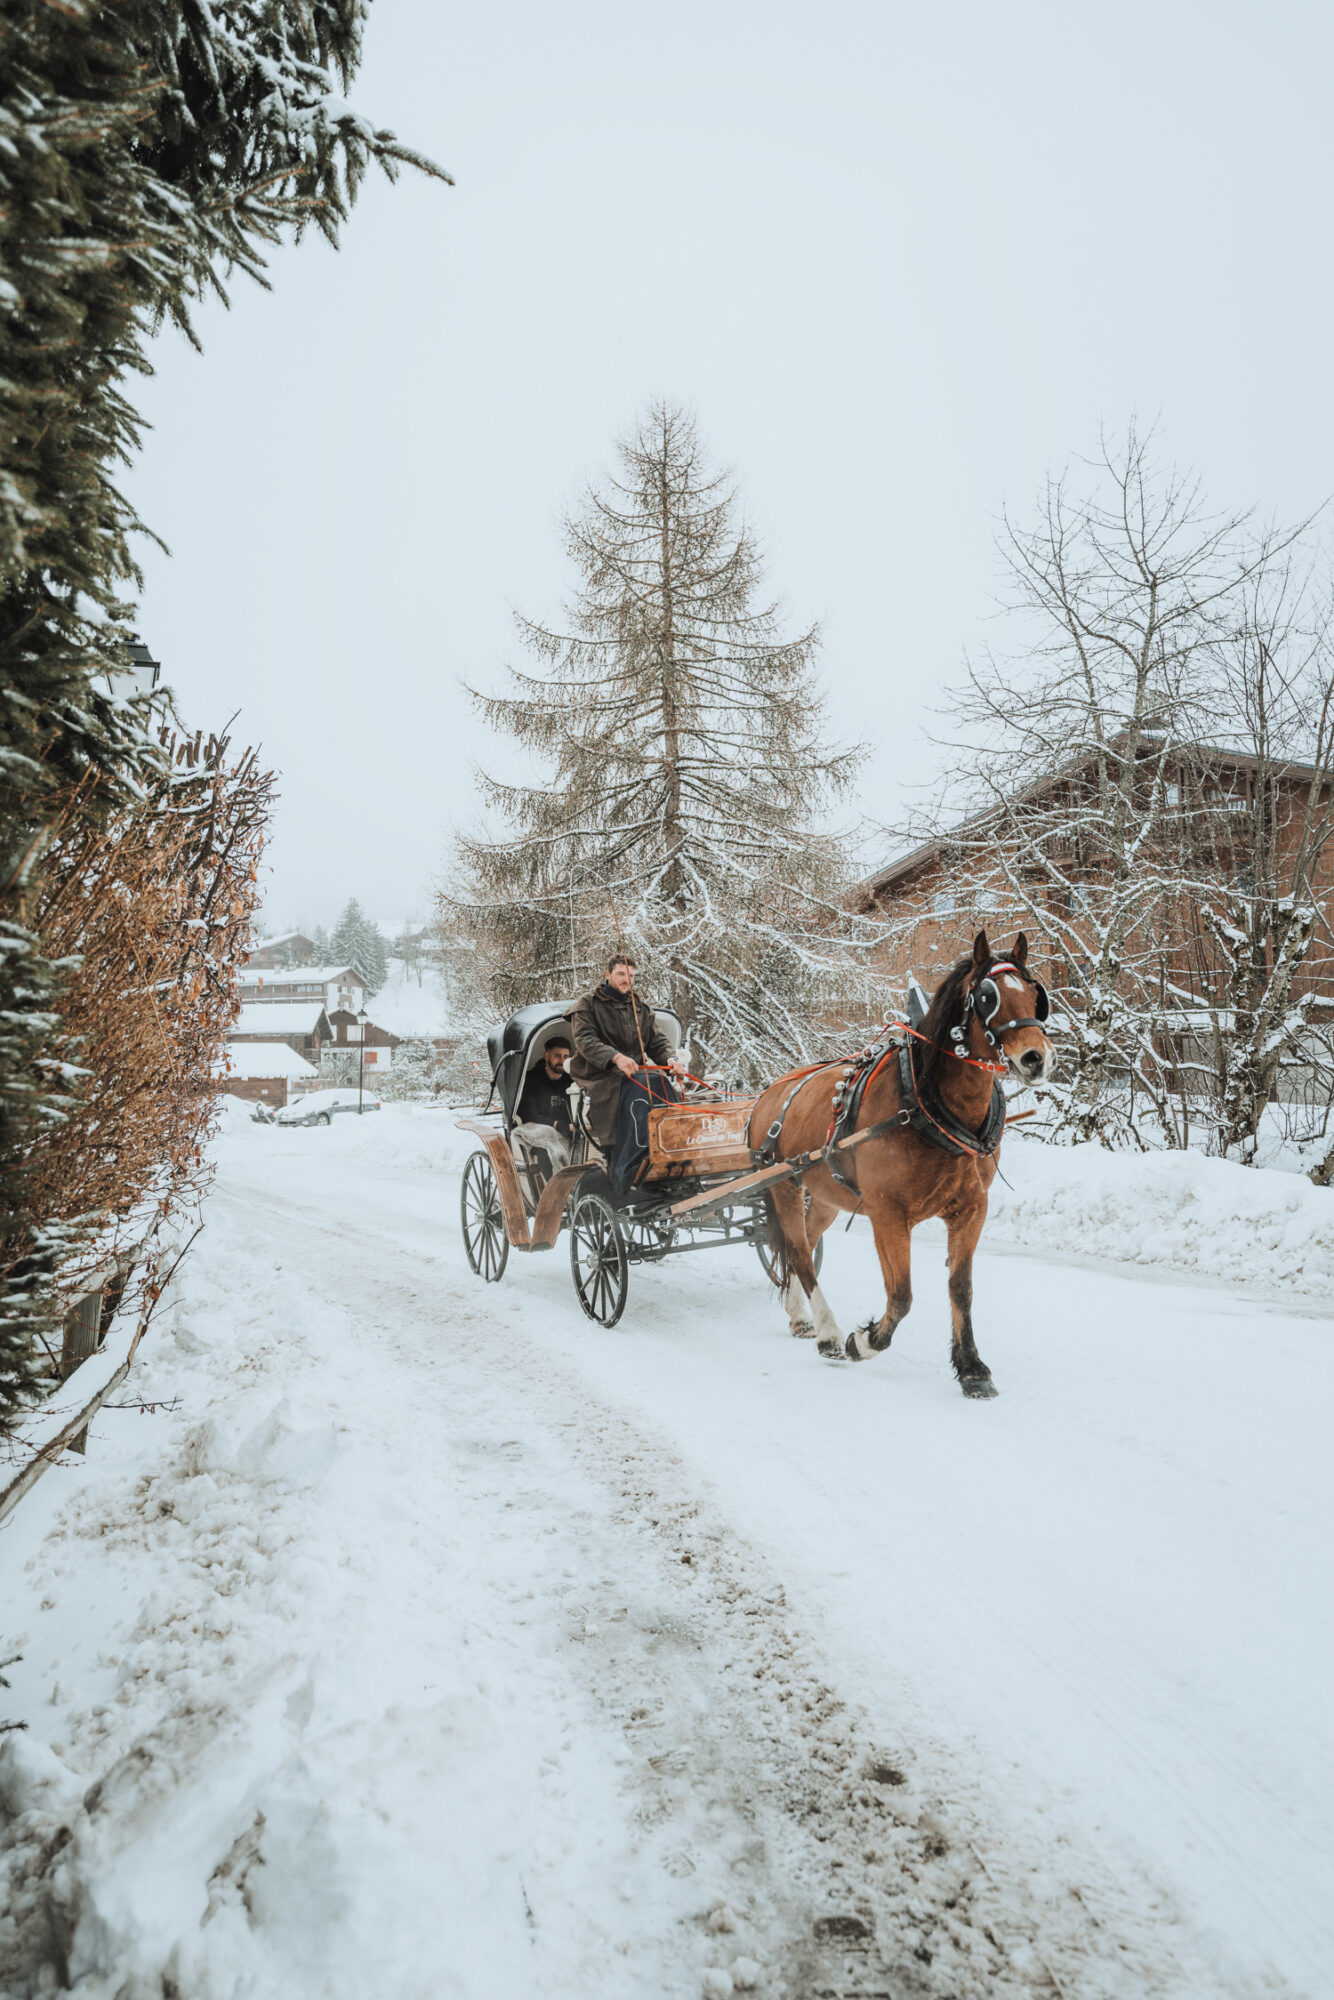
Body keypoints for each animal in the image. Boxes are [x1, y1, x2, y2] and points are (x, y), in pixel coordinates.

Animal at [752, 932, 1056, 1392]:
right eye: (988, 996)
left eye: (1036, 994)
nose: (1037, 1058)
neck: (926, 1104)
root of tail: (770, 1091)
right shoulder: (887, 1214)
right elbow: (902, 1296)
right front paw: (863, 1341)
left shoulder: (972, 1209)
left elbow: (960, 1288)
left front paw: (971, 1367)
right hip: (784, 1185)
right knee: (801, 1253)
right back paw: (828, 1333)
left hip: (825, 1195)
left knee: (799, 1240)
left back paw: (800, 1316)